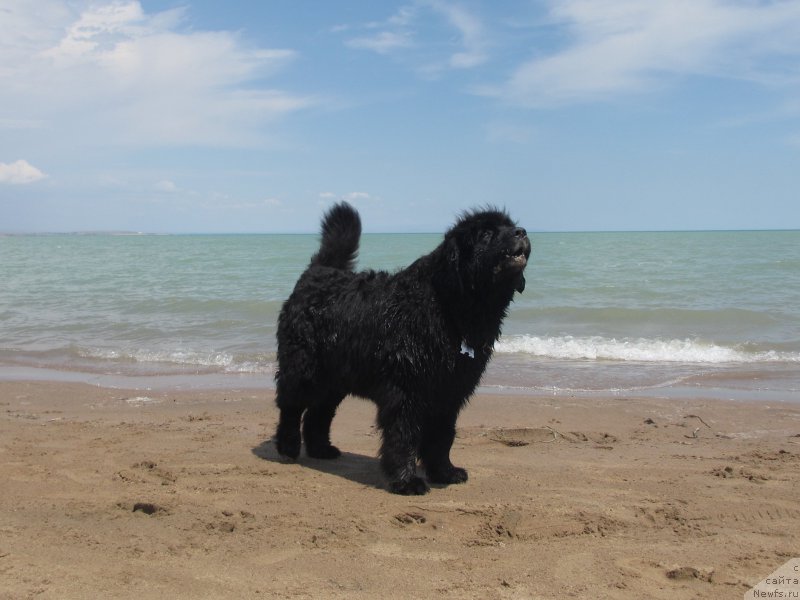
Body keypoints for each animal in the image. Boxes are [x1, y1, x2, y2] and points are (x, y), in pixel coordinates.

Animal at [276, 204, 532, 494]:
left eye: (510, 225)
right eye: (487, 233)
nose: (521, 231)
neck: (449, 305)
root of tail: (318, 271)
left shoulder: (450, 392)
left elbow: (442, 437)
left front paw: (444, 471)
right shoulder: (406, 390)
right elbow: (403, 436)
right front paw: (406, 480)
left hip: (336, 378)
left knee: (319, 413)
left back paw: (321, 449)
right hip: (303, 369)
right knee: (291, 407)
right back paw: (287, 448)